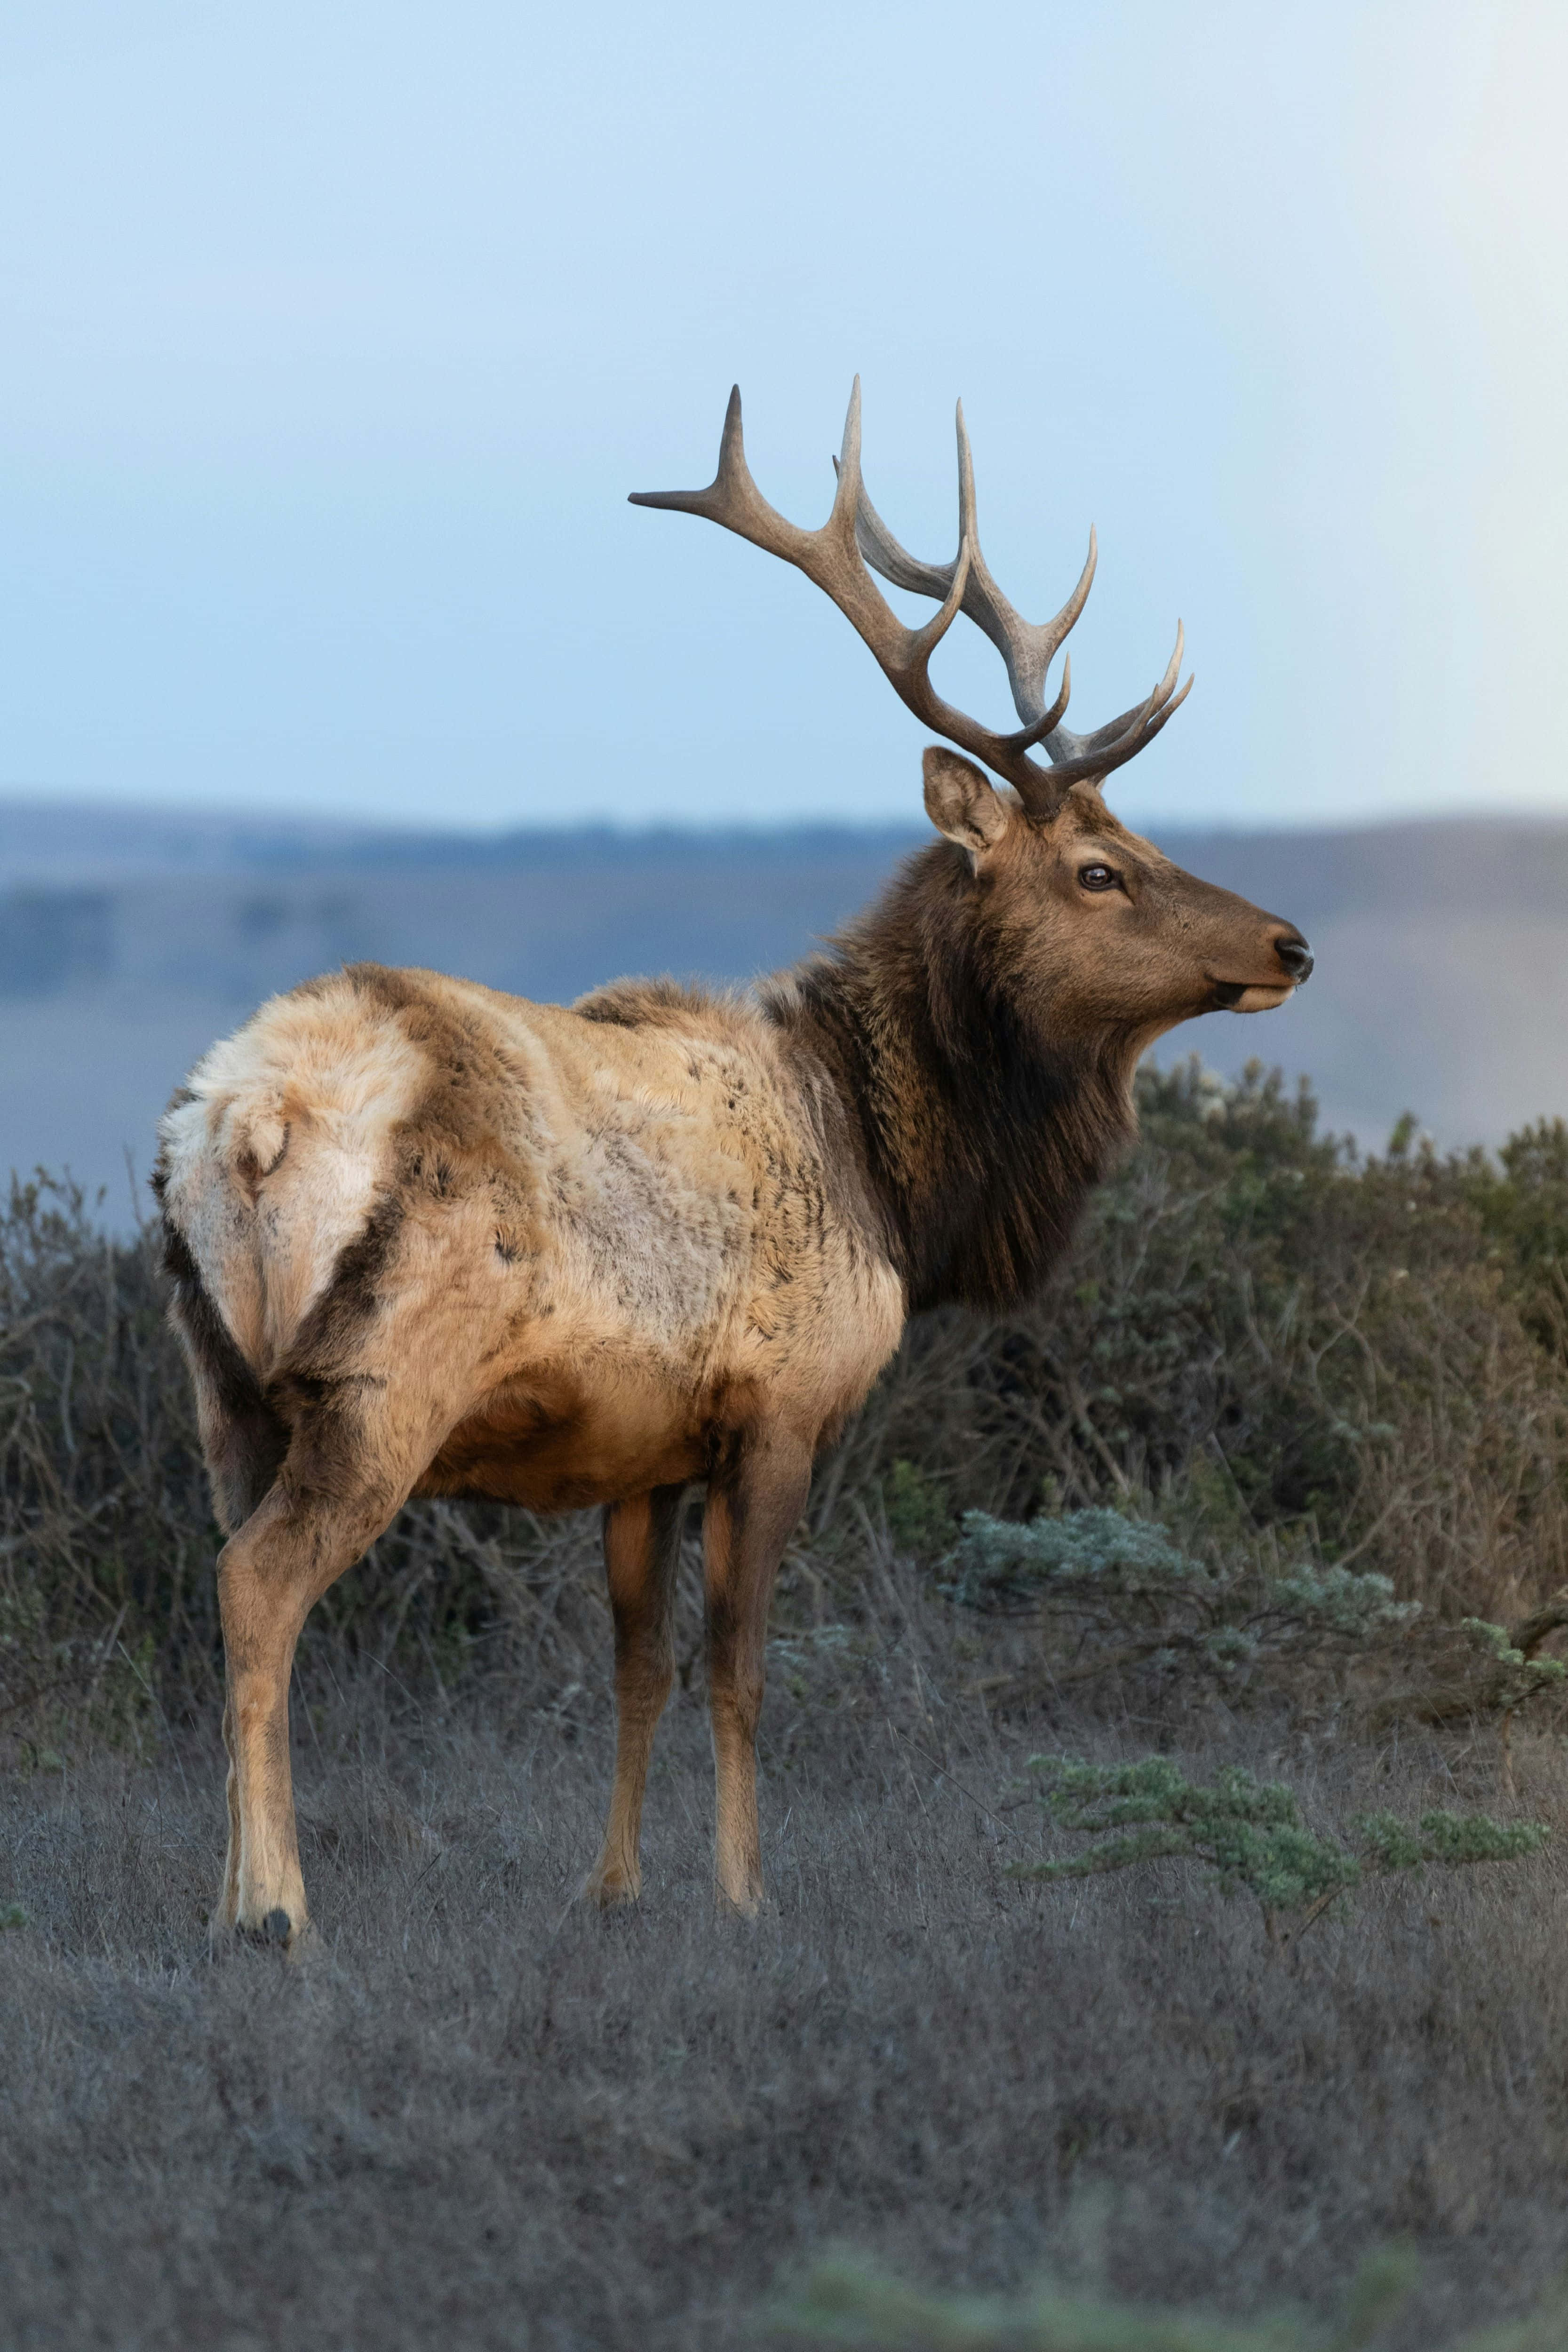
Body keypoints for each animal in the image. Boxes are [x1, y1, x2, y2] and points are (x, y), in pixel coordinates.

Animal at [154, 382, 1312, 1951]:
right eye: (1098, 871)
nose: (1289, 943)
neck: (895, 1179)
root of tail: (240, 1124)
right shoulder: (779, 1406)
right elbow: (742, 1668)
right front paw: (748, 1896)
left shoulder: (640, 1446)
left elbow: (637, 1665)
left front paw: (613, 1886)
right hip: (379, 1384)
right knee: (262, 1583)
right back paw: (275, 1911)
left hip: (221, 1390)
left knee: (220, 1579)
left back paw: (226, 1893)